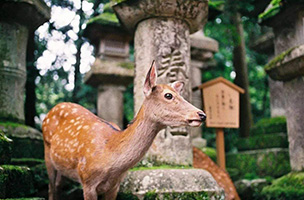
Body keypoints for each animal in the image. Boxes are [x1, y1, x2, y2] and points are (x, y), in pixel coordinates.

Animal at [42, 61, 207, 200]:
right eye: (168, 95)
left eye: (180, 94)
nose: (201, 114)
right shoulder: (87, 180)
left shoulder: (114, 186)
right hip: (47, 153)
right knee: (51, 188)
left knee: (57, 186)